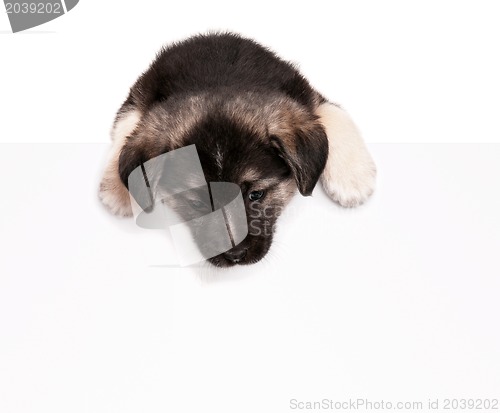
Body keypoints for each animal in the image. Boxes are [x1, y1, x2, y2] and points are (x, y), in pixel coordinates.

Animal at [99, 31, 376, 264]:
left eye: (256, 195)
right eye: (197, 204)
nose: (235, 255)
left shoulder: (307, 98)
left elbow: (333, 113)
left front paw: (354, 178)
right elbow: (131, 131)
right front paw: (119, 188)